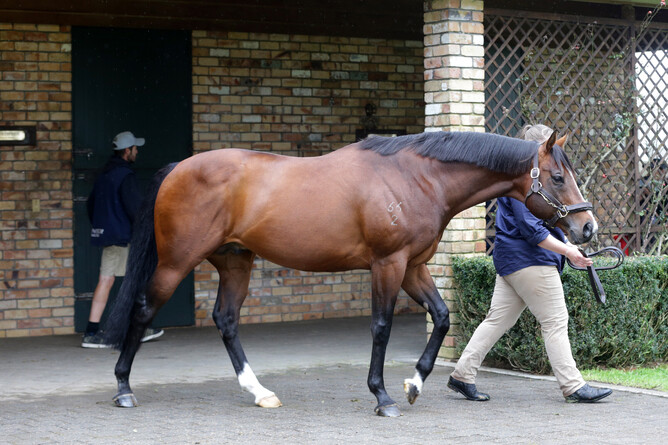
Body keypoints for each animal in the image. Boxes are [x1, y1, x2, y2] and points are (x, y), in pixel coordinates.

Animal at [103, 129, 596, 417]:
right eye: (556, 177)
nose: (587, 228)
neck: (417, 177)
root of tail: (178, 169)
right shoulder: (388, 264)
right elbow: (380, 326)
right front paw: (383, 396)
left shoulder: (413, 266)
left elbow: (441, 318)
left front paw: (414, 384)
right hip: (176, 262)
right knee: (144, 310)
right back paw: (124, 388)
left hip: (235, 260)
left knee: (226, 320)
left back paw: (259, 392)